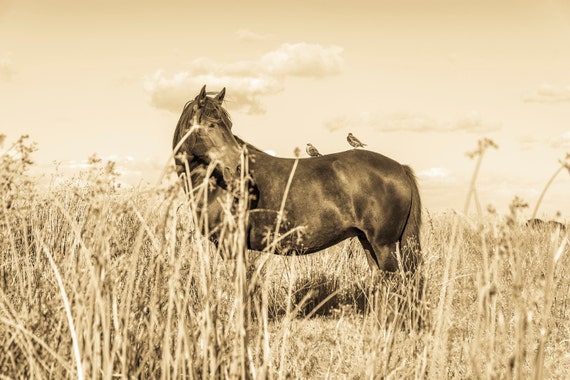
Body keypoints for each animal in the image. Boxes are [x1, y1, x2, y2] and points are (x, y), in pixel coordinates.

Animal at [171, 85, 420, 274]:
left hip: (384, 244)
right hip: (367, 241)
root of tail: (400, 168)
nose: (238, 167)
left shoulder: (232, 246)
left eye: (229, 125)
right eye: (210, 125)